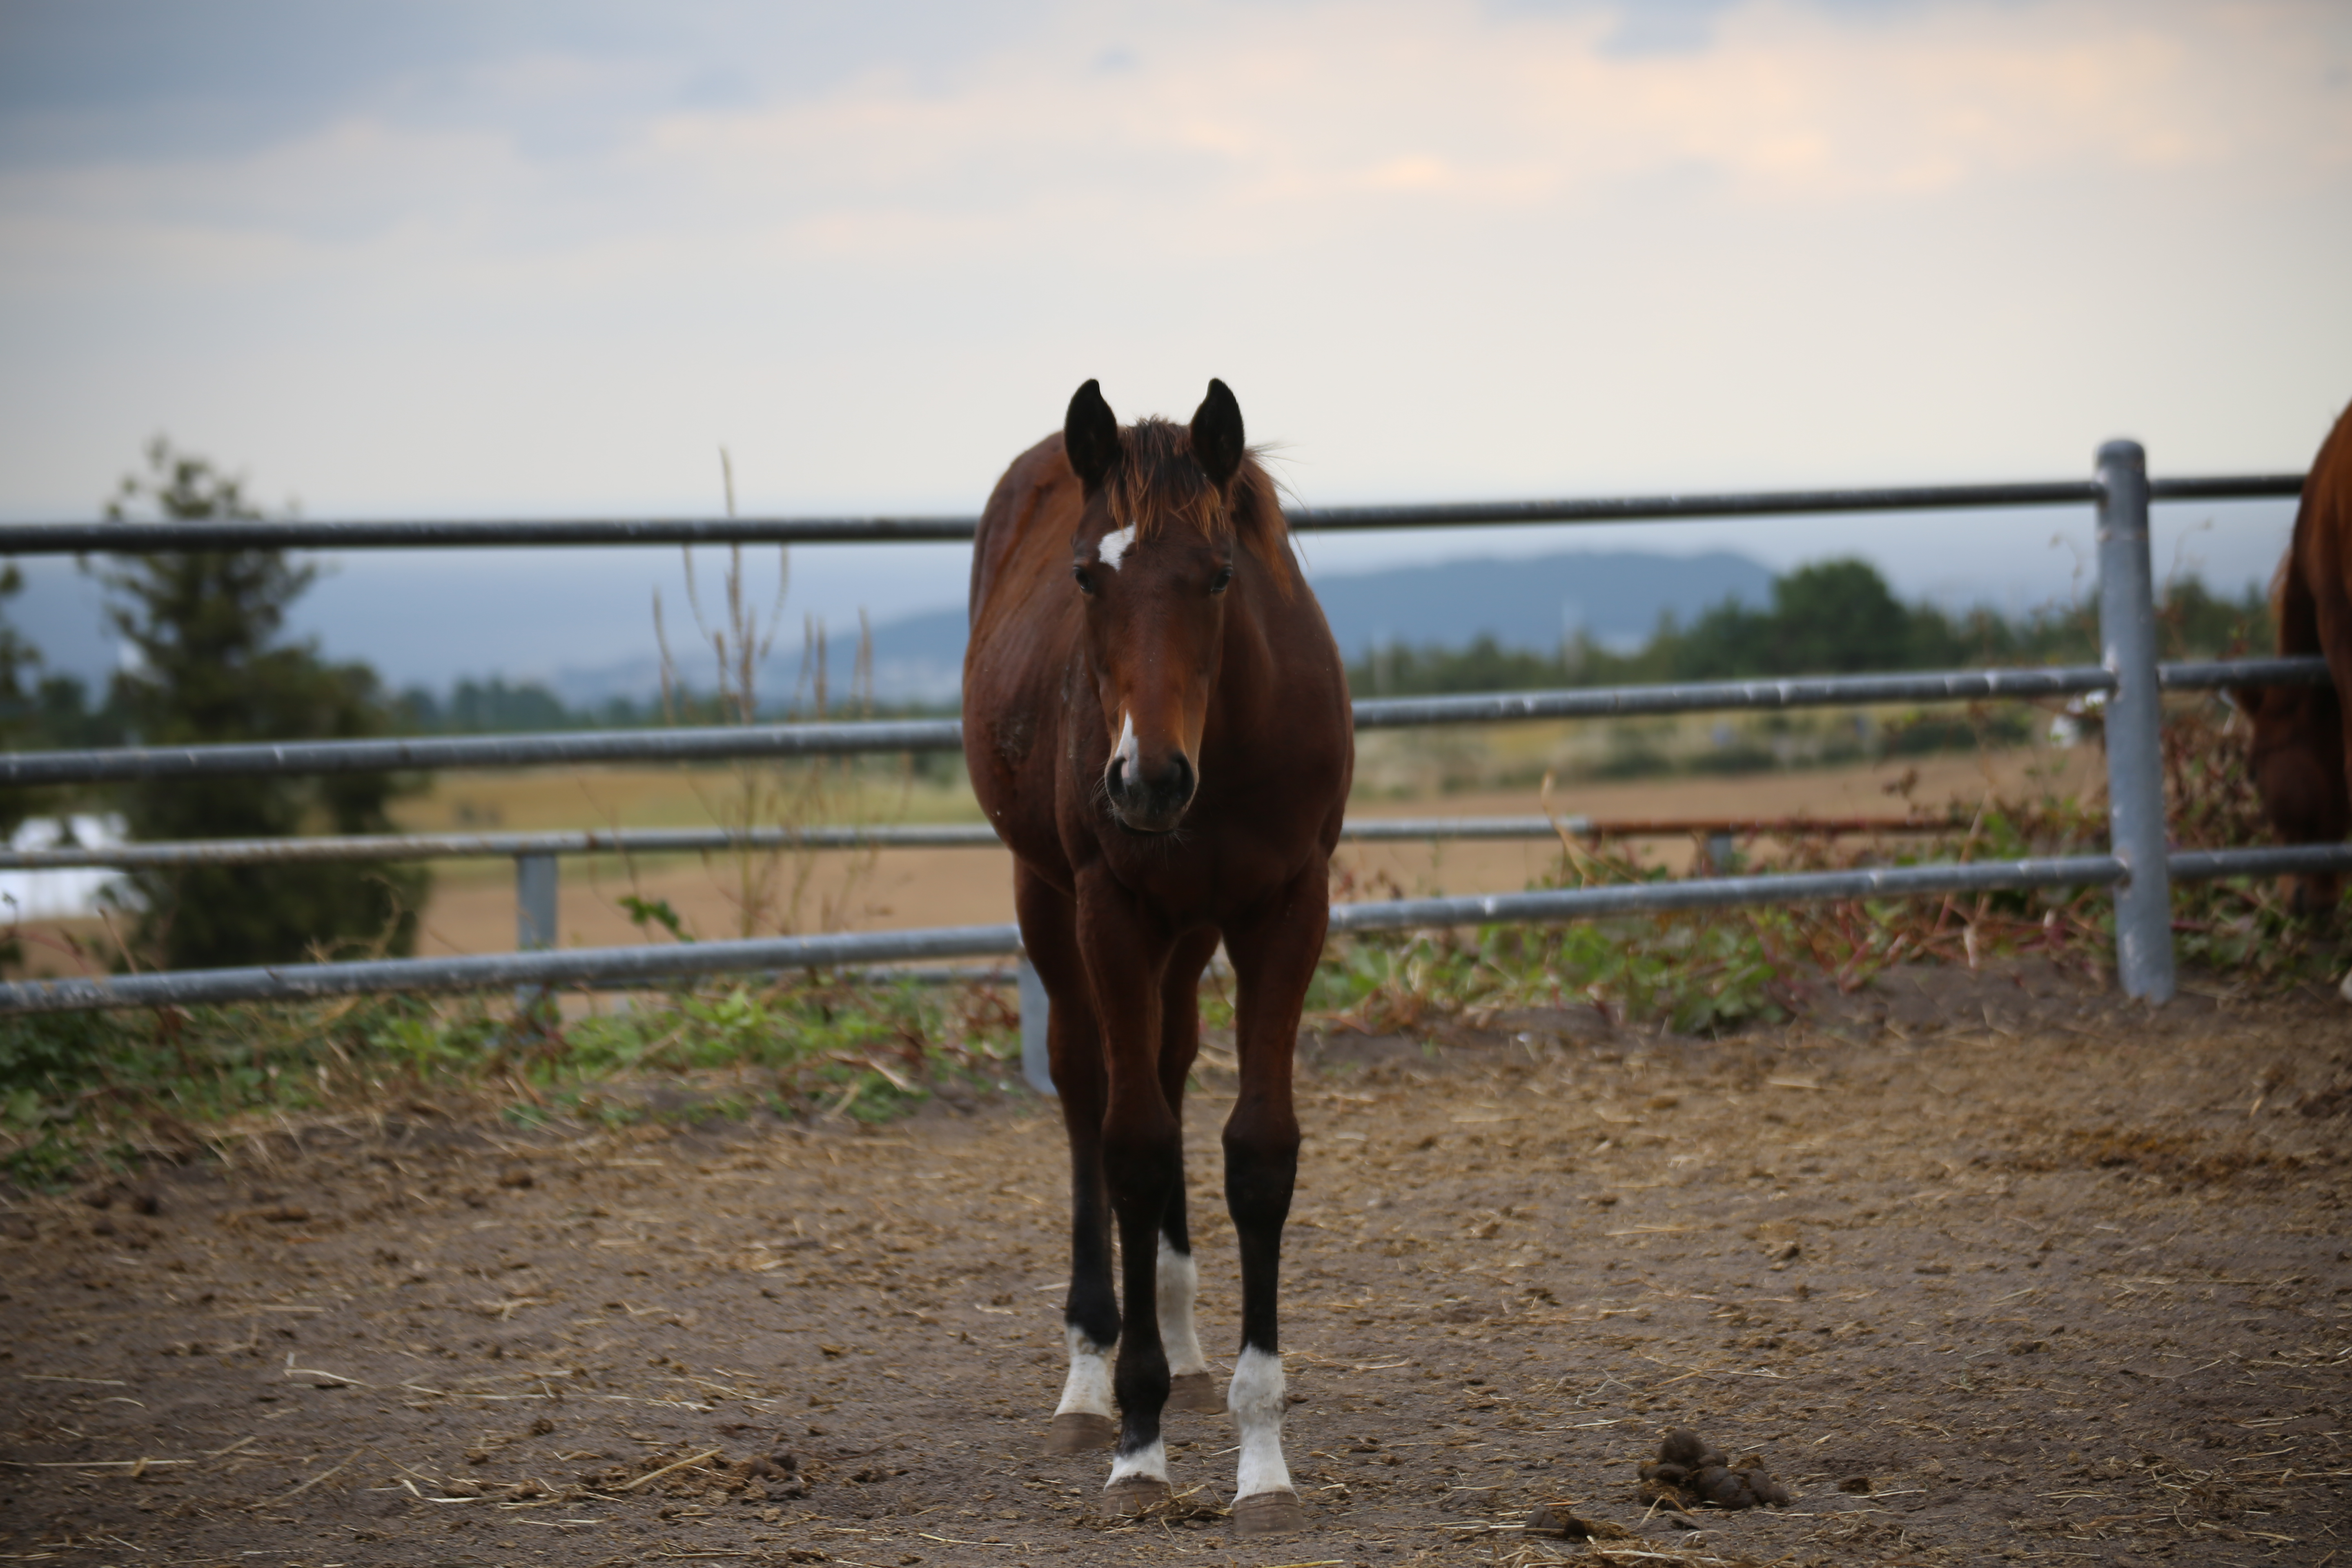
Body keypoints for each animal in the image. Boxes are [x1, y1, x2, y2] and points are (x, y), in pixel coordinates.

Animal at [960, 381, 1364, 1532]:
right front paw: (1138, 1442)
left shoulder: (1287, 907)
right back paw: (1092, 1372)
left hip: (1188, 933)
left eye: (1218, 573)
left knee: (1175, 1064)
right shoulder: (1113, 907)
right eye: (1087, 573)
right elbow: (1131, 1147)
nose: (1146, 780)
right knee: (1088, 1091)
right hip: (1052, 902)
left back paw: (1180, 1338)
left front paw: (1263, 1457)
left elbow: (1258, 1153)